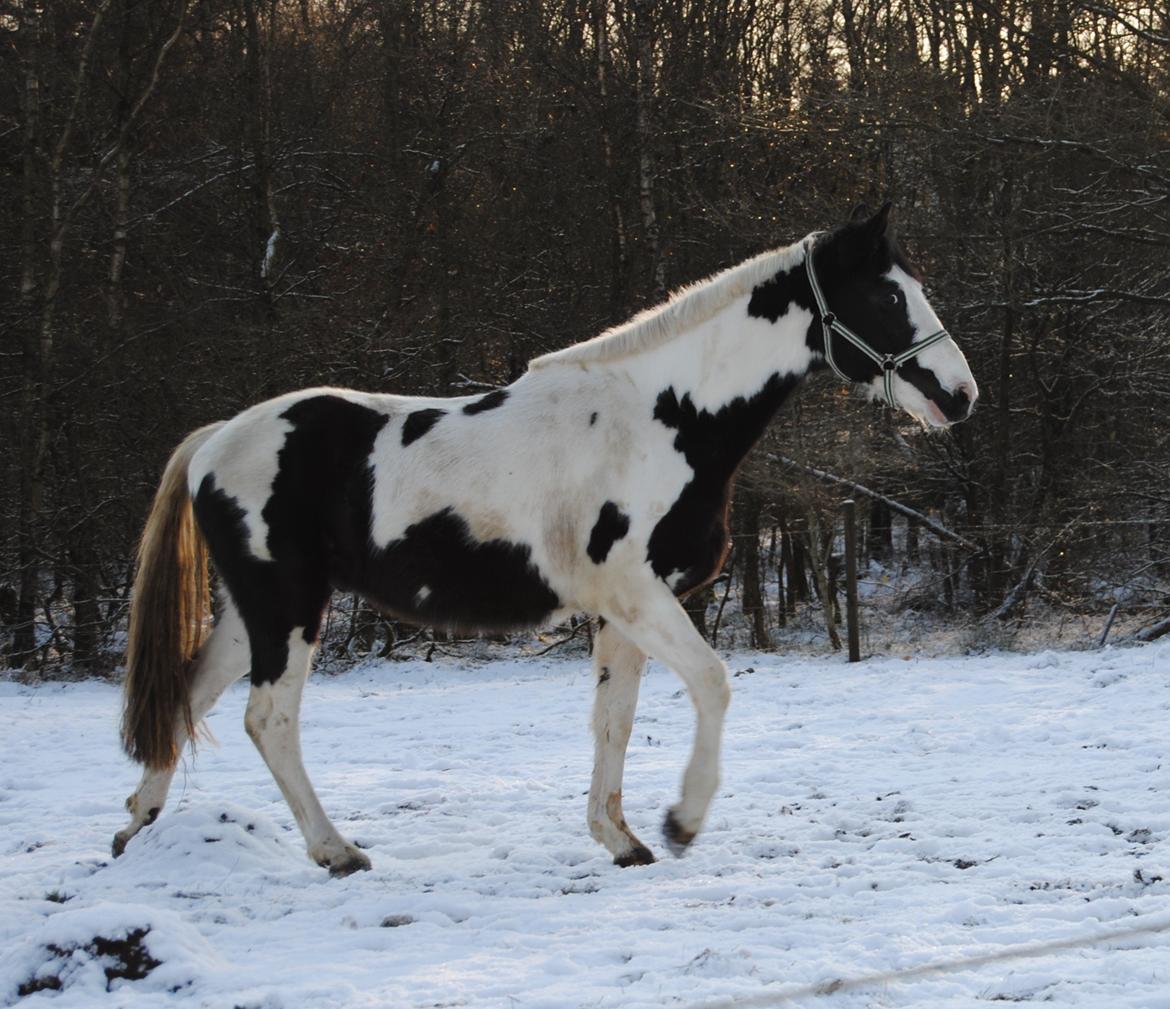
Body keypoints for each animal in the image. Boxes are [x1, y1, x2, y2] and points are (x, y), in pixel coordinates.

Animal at [116, 206, 978, 875]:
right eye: (887, 292)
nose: (960, 395)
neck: (665, 416)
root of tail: (215, 441)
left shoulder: (624, 610)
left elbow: (615, 719)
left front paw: (621, 837)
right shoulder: (637, 594)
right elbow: (713, 682)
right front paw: (682, 822)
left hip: (250, 610)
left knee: (189, 695)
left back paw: (134, 828)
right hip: (288, 606)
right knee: (269, 719)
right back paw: (337, 851)